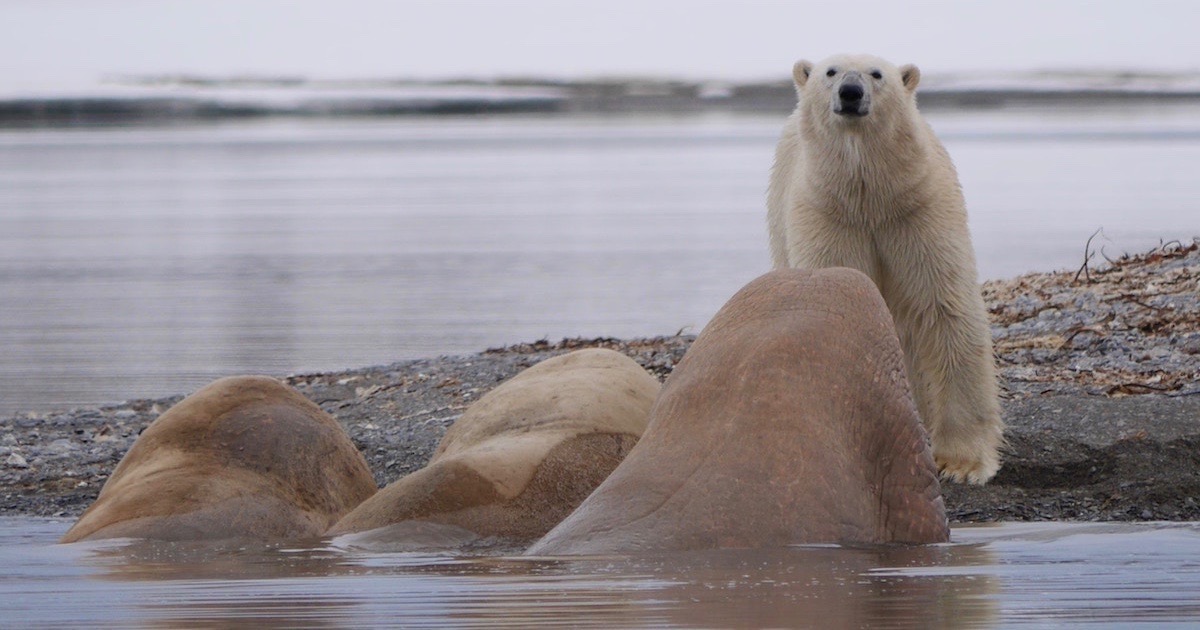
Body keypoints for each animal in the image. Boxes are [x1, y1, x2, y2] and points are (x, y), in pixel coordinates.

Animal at [766, 53, 1003, 484]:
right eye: (830, 72)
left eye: (877, 74)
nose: (850, 92)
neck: (870, 198)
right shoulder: (829, 217)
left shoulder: (917, 213)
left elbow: (945, 309)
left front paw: (962, 463)